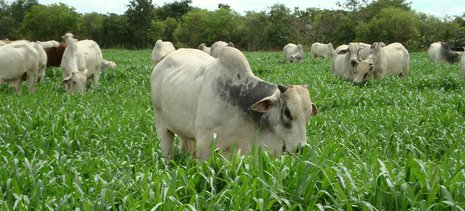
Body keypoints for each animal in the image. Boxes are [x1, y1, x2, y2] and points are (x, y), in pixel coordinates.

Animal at [150, 47, 318, 161]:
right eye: (287, 112)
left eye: (308, 115)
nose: (301, 149)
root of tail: (161, 62)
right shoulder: (205, 145)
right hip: (161, 125)